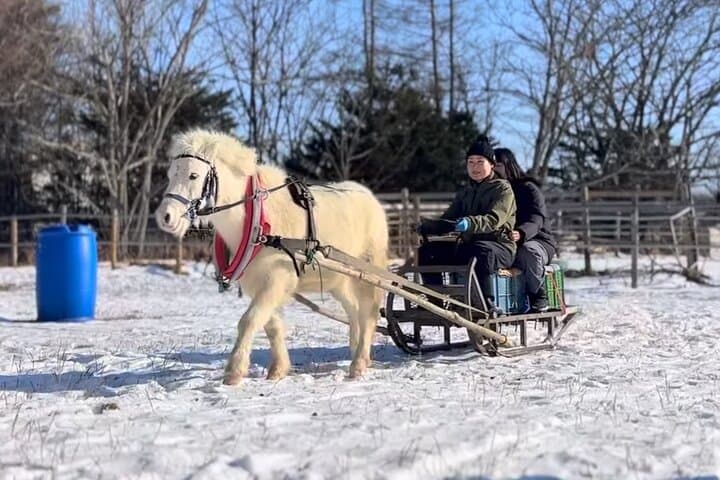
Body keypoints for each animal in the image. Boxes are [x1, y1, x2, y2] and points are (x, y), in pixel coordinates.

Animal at [155, 129, 389, 385]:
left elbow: (249, 320)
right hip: (339, 280)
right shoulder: (259, 283)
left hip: (368, 274)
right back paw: (358, 352)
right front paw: (278, 369)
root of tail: (371, 198)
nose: (165, 217)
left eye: (194, 175)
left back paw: (358, 365)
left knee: (369, 314)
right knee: (354, 312)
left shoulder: (277, 279)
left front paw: (234, 371)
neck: (259, 223)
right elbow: (272, 326)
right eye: (170, 175)